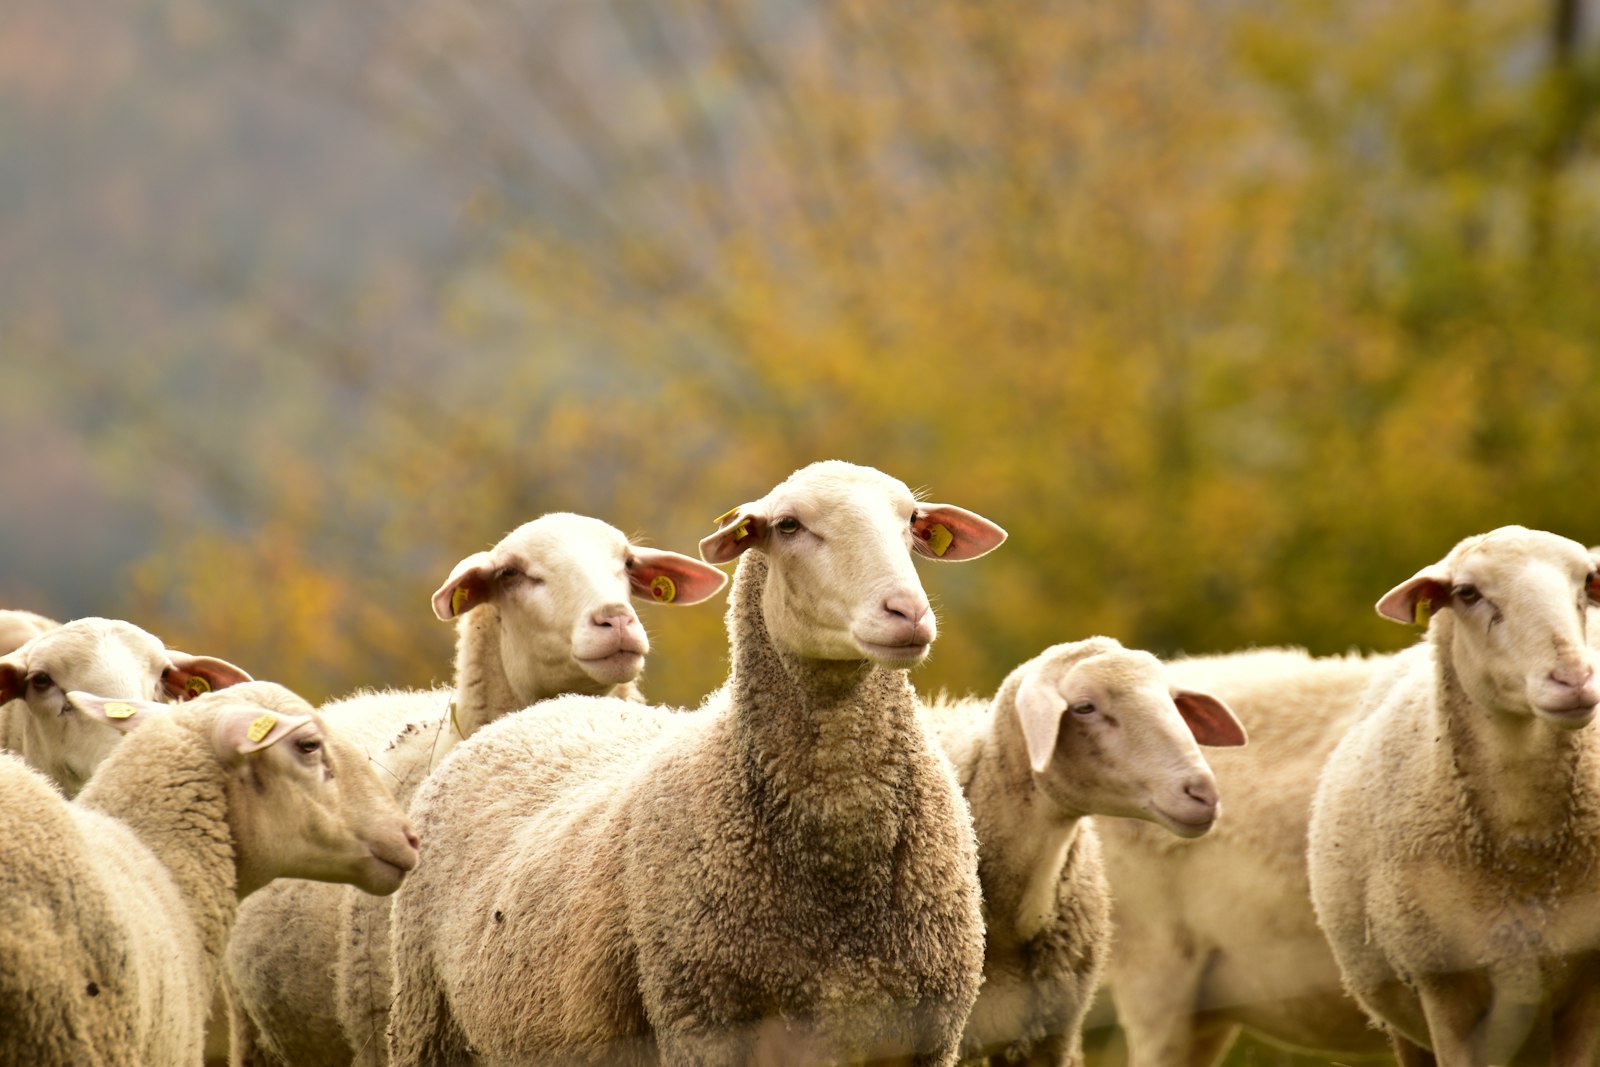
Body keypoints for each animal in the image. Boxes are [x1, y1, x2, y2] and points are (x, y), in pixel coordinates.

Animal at [387, 460, 1008, 1066]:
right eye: (788, 526)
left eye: (912, 521)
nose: (908, 611)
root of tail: (551, 708)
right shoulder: (702, 1021)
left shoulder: (926, 1037)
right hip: (426, 1023)